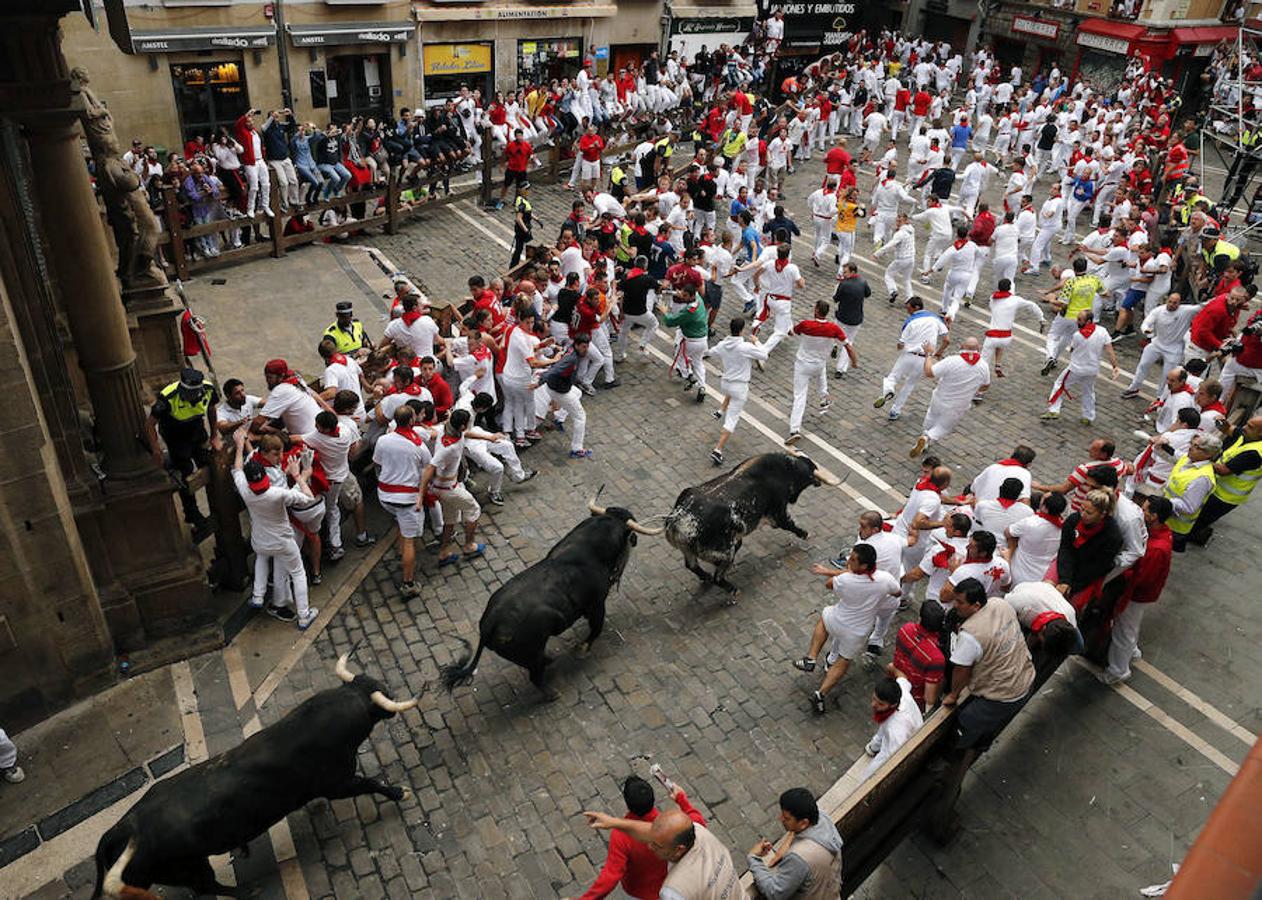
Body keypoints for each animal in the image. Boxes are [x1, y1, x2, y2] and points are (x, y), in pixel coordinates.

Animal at [95, 651, 418, 898]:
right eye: (382, 692)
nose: (391, 695)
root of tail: (122, 826)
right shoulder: (338, 784)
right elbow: (371, 783)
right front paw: (400, 792)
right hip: (190, 868)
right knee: (207, 887)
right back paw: (246, 891)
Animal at [441, 504, 661, 696]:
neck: (590, 549)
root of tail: (489, 626)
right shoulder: (597, 604)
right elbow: (596, 629)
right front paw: (582, 648)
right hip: (532, 653)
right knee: (535, 676)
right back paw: (552, 693)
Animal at [666, 451, 843, 593]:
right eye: (808, 478)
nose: (818, 482)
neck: (784, 471)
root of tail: (679, 520)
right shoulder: (778, 514)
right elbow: (790, 524)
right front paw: (805, 533)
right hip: (726, 552)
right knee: (717, 576)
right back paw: (733, 590)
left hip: (691, 551)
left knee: (692, 566)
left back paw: (707, 578)